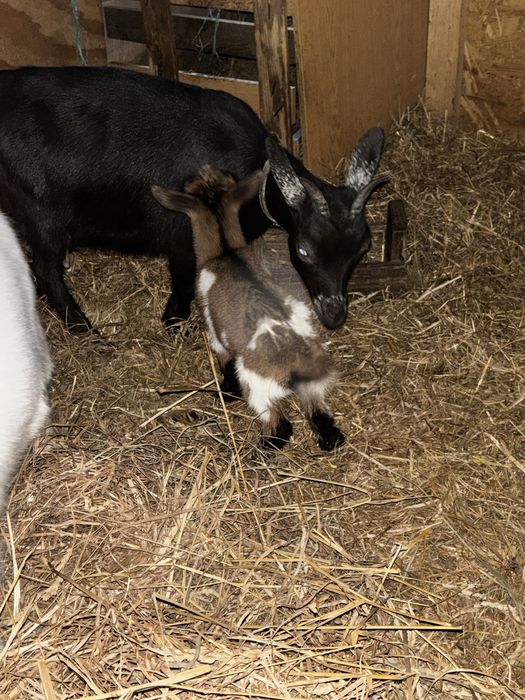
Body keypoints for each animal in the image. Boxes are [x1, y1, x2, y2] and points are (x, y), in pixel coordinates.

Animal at [0, 66, 385, 334]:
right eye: (303, 249)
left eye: (363, 249)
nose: (334, 314)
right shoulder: (182, 232)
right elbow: (184, 276)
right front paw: (174, 321)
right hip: (41, 212)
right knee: (45, 271)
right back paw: (85, 329)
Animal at [151, 166, 345, 450]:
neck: (225, 253)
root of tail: (297, 366)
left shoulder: (216, 336)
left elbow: (225, 363)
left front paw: (227, 392)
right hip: (314, 388)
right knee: (323, 421)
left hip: (259, 389)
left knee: (281, 426)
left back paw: (261, 448)